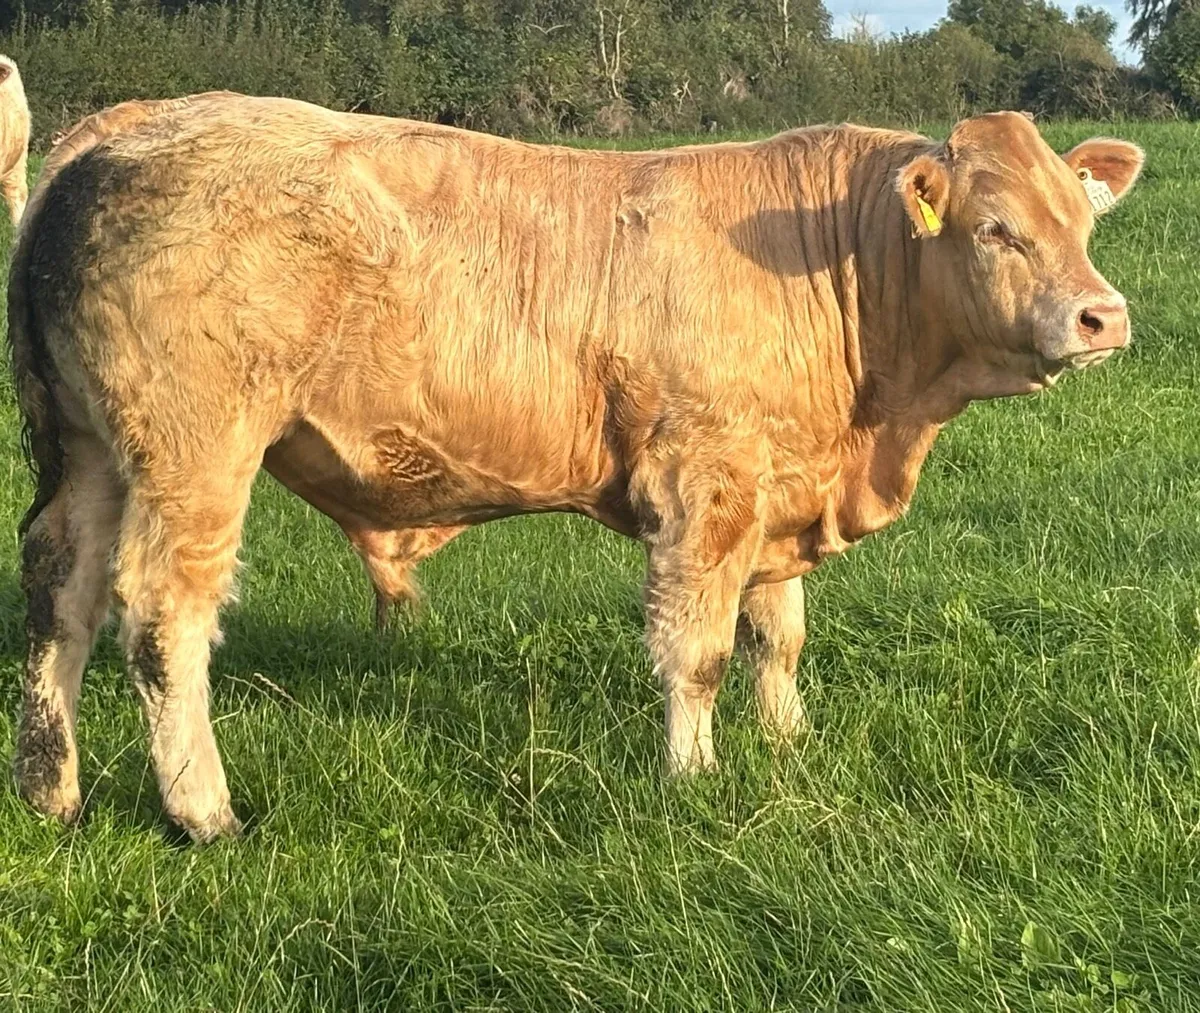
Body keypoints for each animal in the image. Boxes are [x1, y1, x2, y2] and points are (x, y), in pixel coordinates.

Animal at [8, 92, 1143, 842]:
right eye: (995, 229)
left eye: (1083, 220)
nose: (1105, 317)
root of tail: (124, 123)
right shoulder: (705, 482)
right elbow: (700, 649)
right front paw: (694, 776)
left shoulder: (776, 488)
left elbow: (777, 636)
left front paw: (787, 744)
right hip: (195, 452)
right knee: (162, 619)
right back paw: (205, 811)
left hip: (86, 449)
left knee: (61, 595)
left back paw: (50, 790)